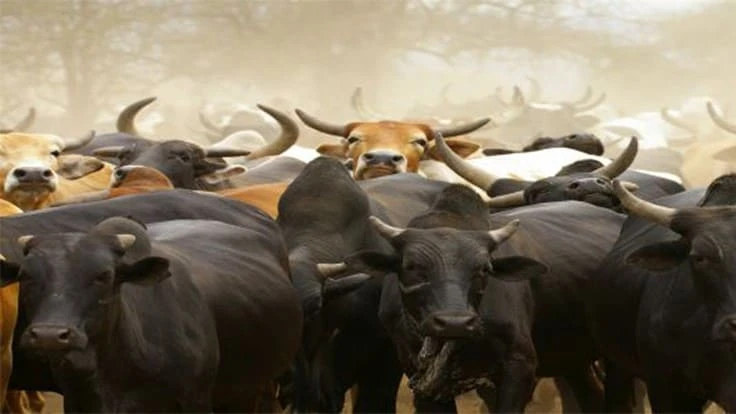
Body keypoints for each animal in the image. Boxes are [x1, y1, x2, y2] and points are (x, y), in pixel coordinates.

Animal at [322, 183, 627, 412]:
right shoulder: (418, 377)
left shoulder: (519, 365)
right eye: (411, 267)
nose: (454, 322)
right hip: (573, 357)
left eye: (484, 268)